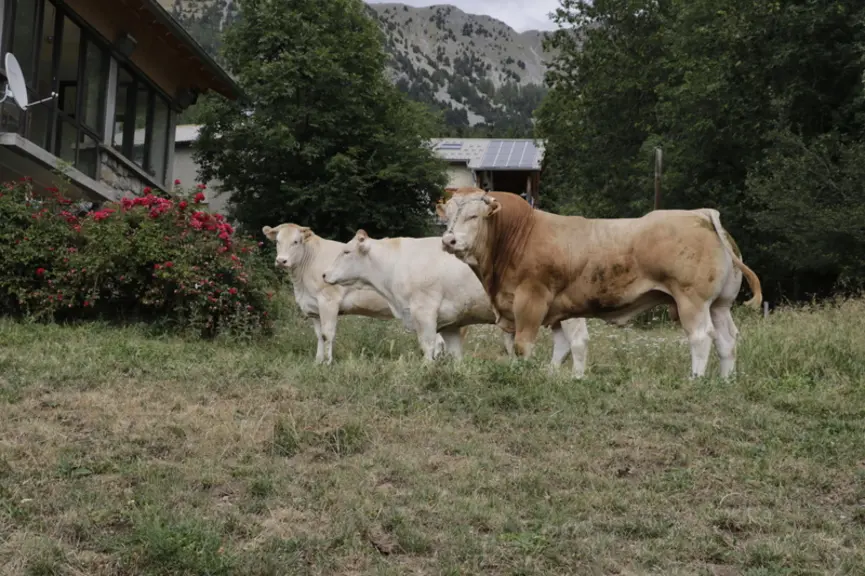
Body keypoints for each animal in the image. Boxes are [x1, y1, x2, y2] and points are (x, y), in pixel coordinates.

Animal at [263, 223, 462, 364]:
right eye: (278, 241)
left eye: (295, 242)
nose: (281, 261)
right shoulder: (313, 308)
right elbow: (319, 336)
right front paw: (318, 361)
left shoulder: (328, 301)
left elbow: (327, 334)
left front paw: (328, 363)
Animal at [321, 229, 590, 375]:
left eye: (346, 251)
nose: (324, 275)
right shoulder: (450, 322)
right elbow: (454, 353)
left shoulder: (424, 310)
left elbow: (427, 345)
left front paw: (426, 370)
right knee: (562, 344)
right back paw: (550, 374)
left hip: (573, 314)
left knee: (578, 342)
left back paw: (576, 378)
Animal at [437, 187, 763, 379]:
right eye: (448, 217)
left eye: (474, 215)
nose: (448, 240)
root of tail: (701, 213)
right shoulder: (557, 309)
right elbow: (561, 346)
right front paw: (553, 375)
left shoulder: (531, 300)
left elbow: (522, 345)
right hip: (720, 305)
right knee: (727, 340)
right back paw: (725, 381)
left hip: (692, 300)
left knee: (701, 337)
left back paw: (695, 379)